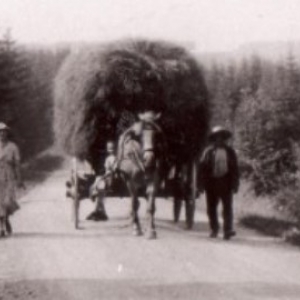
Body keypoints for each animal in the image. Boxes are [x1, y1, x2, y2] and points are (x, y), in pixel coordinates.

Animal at [115, 111, 166, 240]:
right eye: (139, 137)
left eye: (155, 136)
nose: (150, 159)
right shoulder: (130, 181)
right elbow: (134, 204)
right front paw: (136, 228)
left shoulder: (154, 179)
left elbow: (151, 206)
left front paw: (151, 231)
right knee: (135, 202)